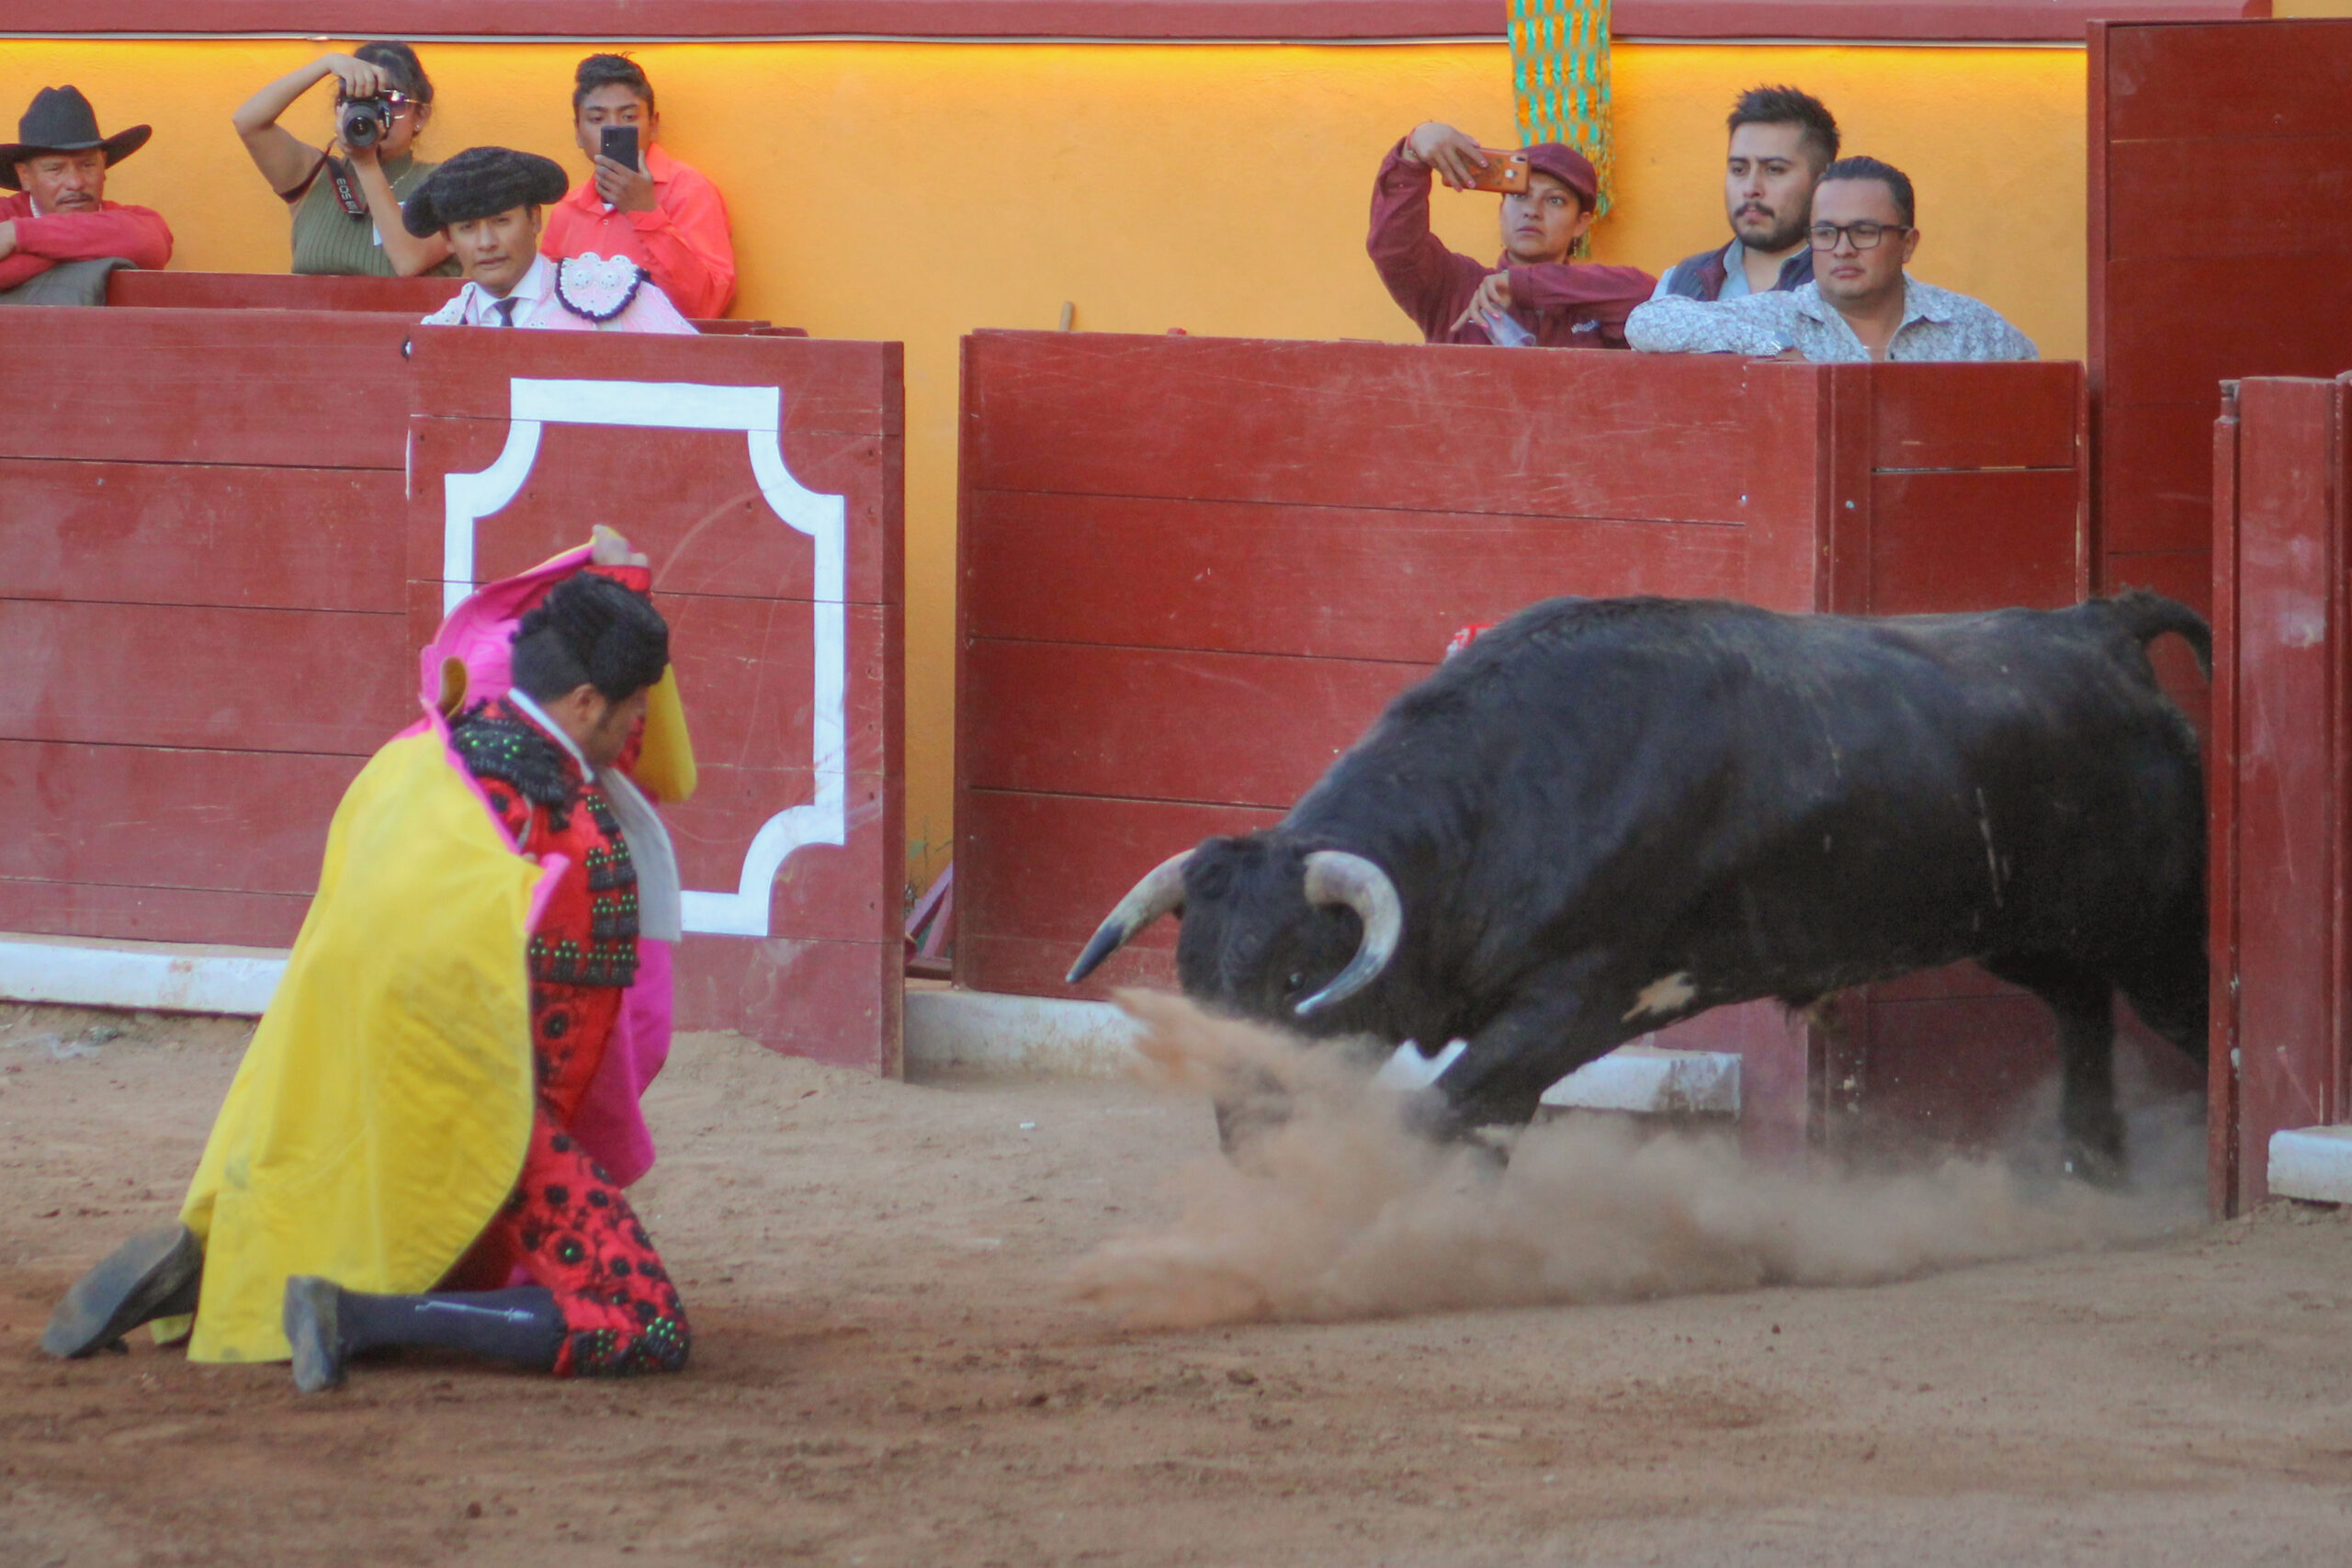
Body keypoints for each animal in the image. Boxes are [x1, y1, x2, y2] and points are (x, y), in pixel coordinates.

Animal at [1077, 594, 2211, 1184]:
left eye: (1295, 976)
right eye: (1192, 977)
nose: (1248, 1136)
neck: (1502, 798)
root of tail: (2095, 626)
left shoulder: (1575, 1001)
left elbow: (1444, 1111)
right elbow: (1476, 1120)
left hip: (2159, 932)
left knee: (2194, 1015)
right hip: (2024, 933)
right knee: (2079, 1008)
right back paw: (2090, 1164)